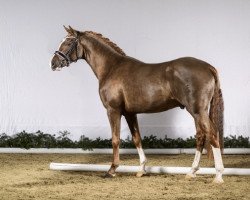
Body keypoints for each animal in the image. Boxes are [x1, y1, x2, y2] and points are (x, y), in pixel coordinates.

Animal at [50, 25, 225, 184]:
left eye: (68, 42)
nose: (53, 63)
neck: (111, 68)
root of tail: (208, 67)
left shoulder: (113, 111)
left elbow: (115, 139)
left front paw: (112, 170)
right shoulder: (130, 113)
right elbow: (137, 139)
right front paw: (141, 169)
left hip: (197, 111)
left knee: (212, 134)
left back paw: (218, 175)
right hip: (197, 112)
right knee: (201, 136)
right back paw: (191, 172)